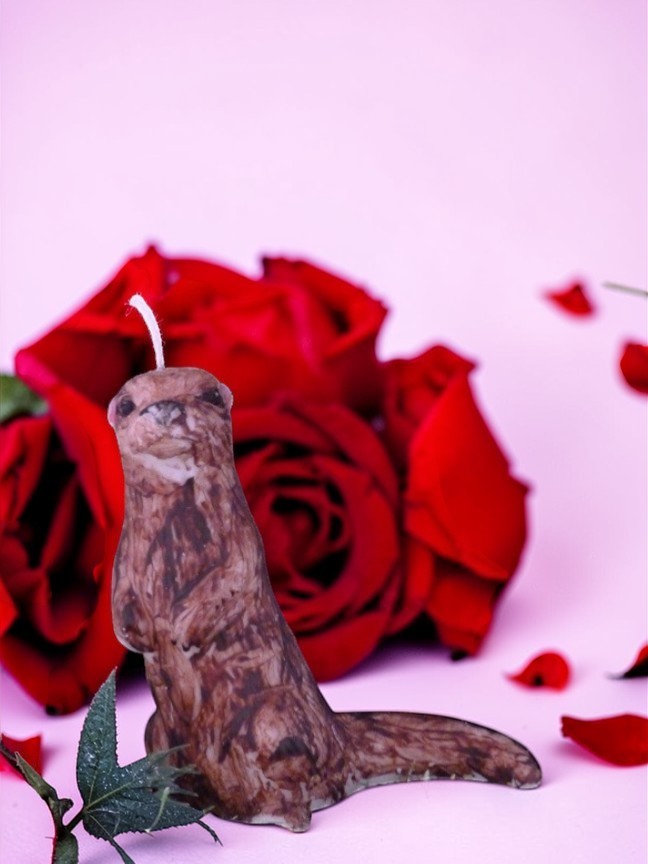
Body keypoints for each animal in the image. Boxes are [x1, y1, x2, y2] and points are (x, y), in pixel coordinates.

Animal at [109, 366, 541, 833]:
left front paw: (184, 630)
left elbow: (232, 581)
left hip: (272, 721)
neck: (174, 549)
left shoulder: (244, 546)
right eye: (127, 405)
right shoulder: (124, 562)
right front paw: (141, 636)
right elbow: (121, 604)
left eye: (209, 395)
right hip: (156, 728)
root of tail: (335, 732)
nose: (165, 409)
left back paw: (285, 812)